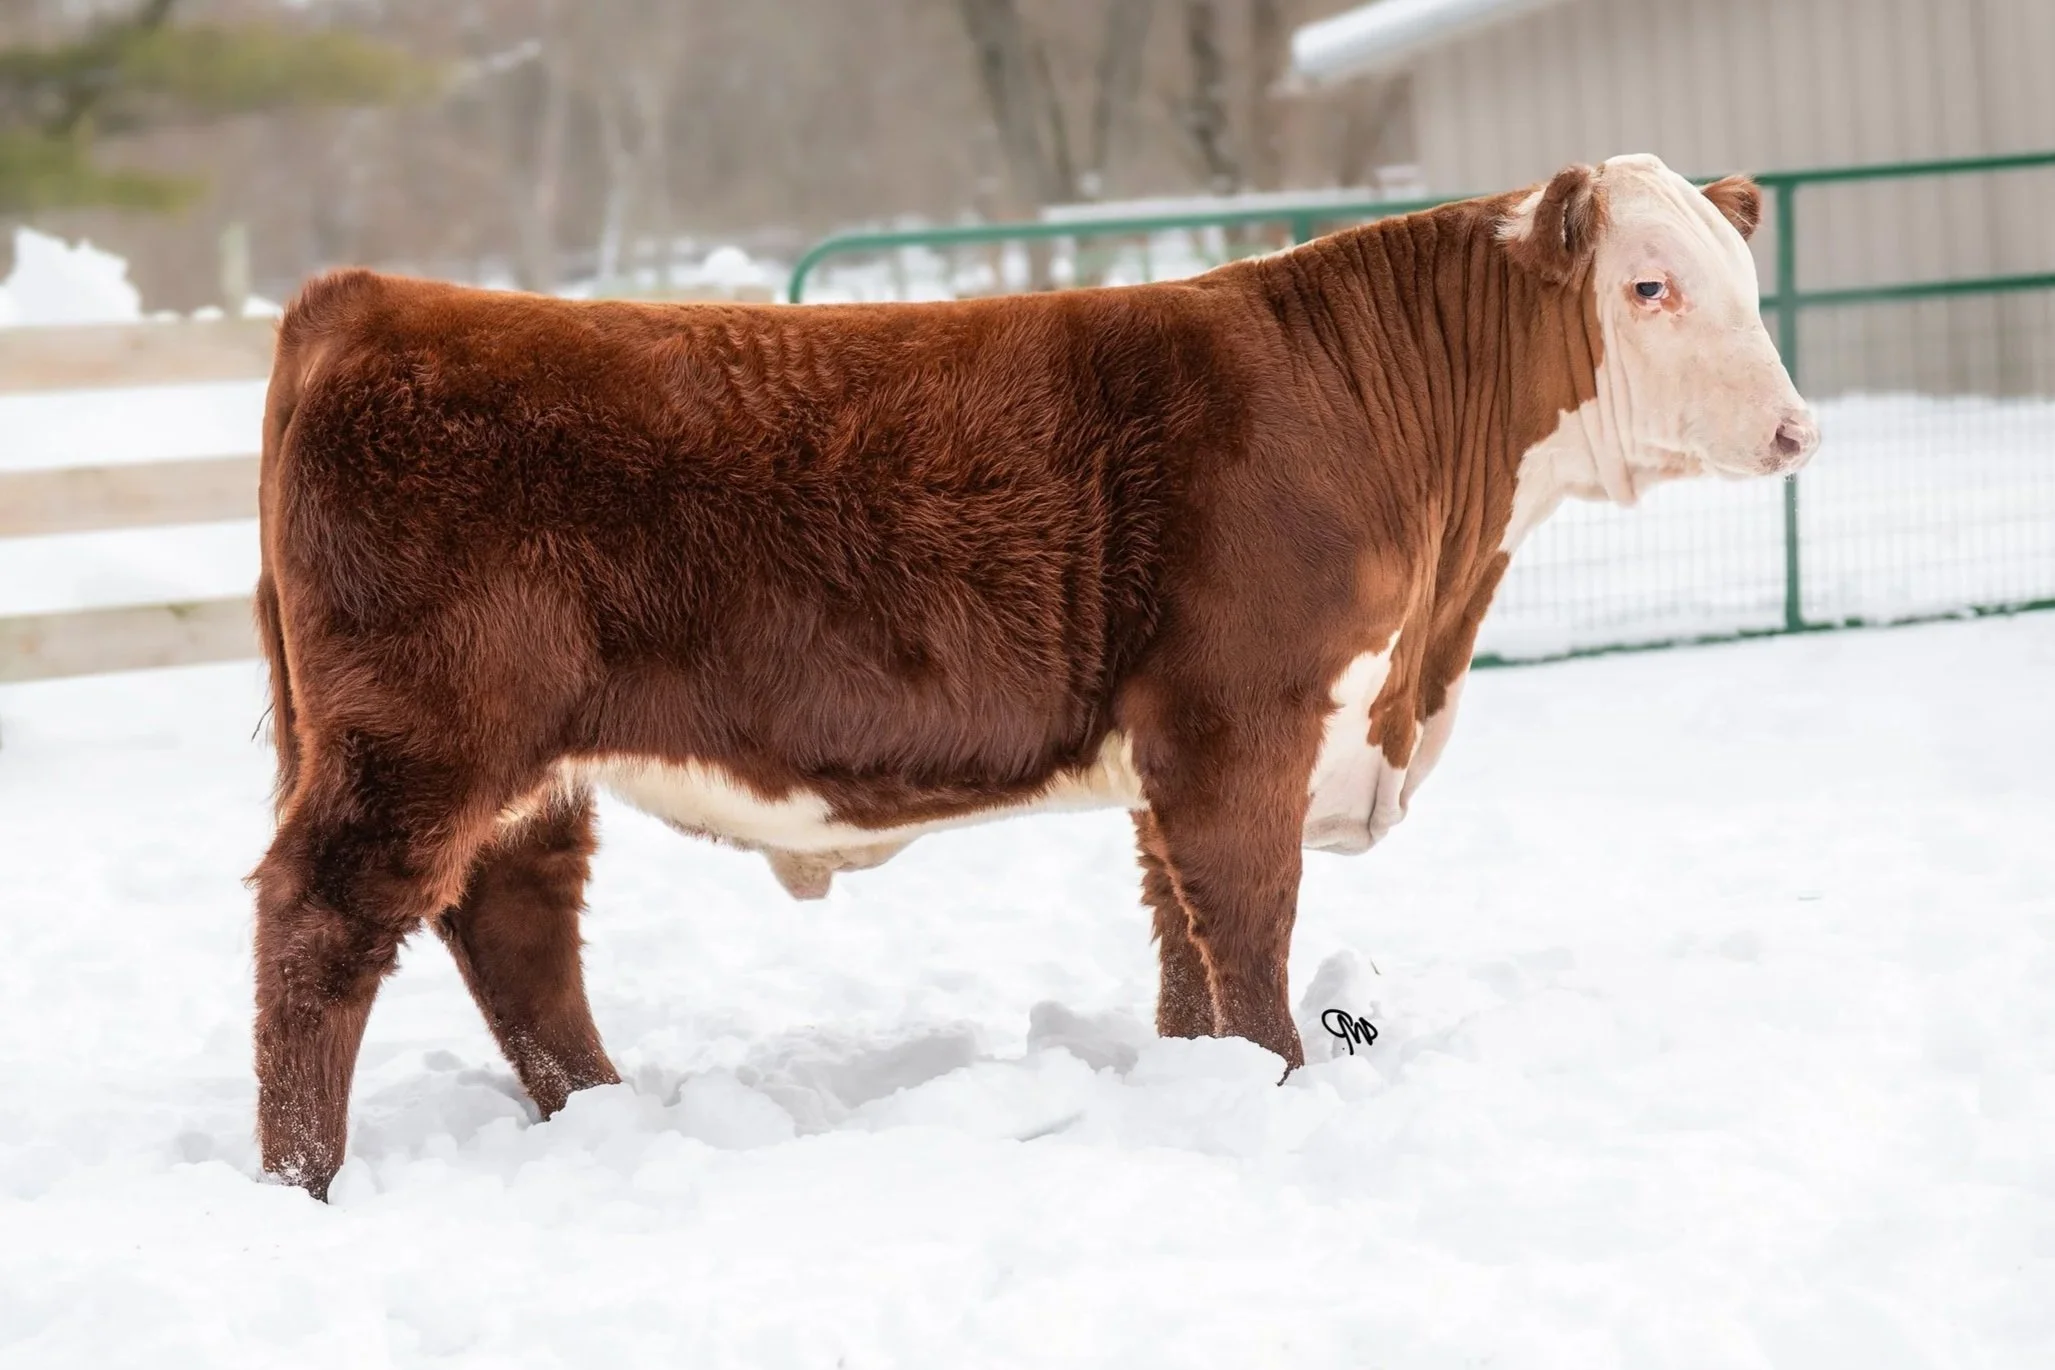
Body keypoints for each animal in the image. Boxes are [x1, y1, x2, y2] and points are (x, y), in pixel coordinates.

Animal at [250, 153, 1816, 1197]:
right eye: (1648, 285)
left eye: (1744, 284)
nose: (1797, 428)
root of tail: (368, 300)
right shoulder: (1239, 724)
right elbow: (1251, 936)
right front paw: (1277, 1093)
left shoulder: (1172, 751)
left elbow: (1185, 952)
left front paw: (1200, 1088)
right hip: (420, 734)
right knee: (321, 927)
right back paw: (302, 1182)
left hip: (515, 762)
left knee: (513, 925)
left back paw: (600, 1119)